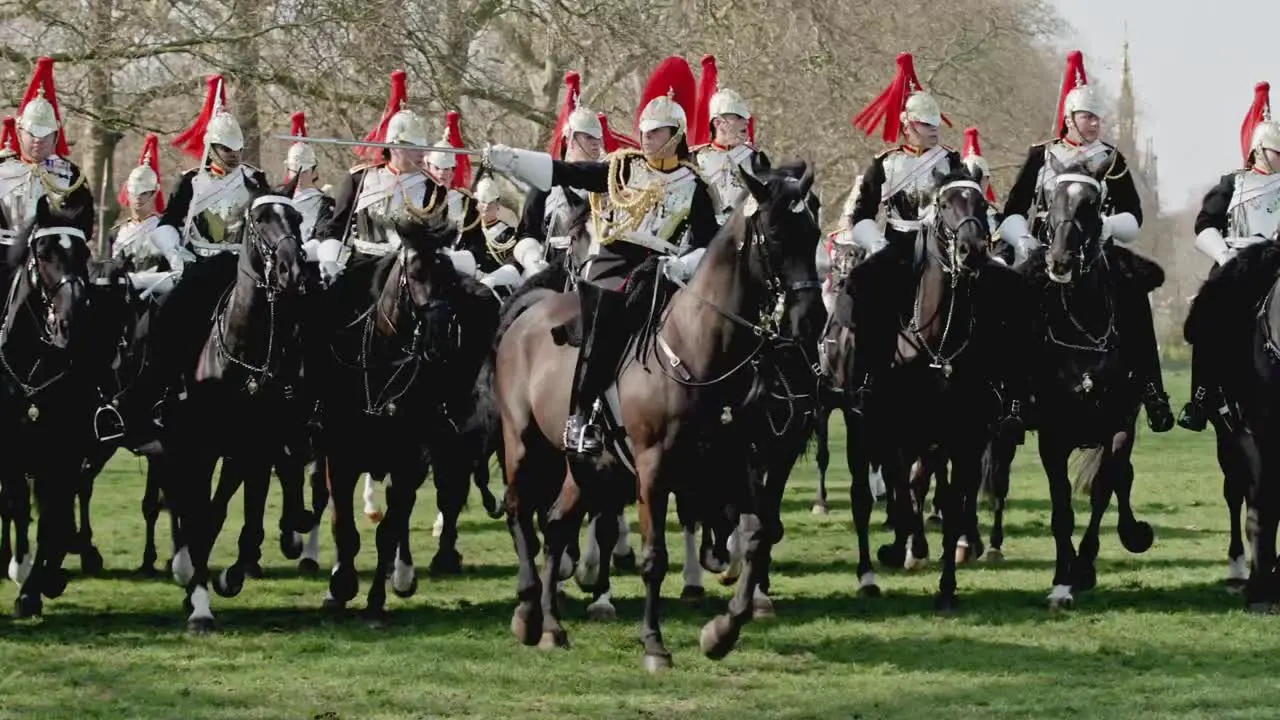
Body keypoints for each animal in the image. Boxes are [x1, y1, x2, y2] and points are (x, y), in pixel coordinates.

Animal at [488, 161, 819, 666]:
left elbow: (758, 534)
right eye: (778, 234)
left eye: (815, 234)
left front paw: (722, 631)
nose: (811, 320)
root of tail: (530, 312)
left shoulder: (736, 462)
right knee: (520, 510)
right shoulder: (653, 469)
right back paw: (527, 611)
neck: (700, 348)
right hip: (523, 444)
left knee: (557, 523)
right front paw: (654, 644)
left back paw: (551, 624)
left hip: (586, 467)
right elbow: (653, 557)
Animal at [1018, 156, 1162, 604]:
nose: (1060, 262)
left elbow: (1103, 488)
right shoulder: (1052, 436)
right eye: (1050, 198)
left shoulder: (1119, 426)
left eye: (1092, 203)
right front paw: (1062, 581)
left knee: (1121, 479)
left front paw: (1084, 567)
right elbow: (1062, 506)